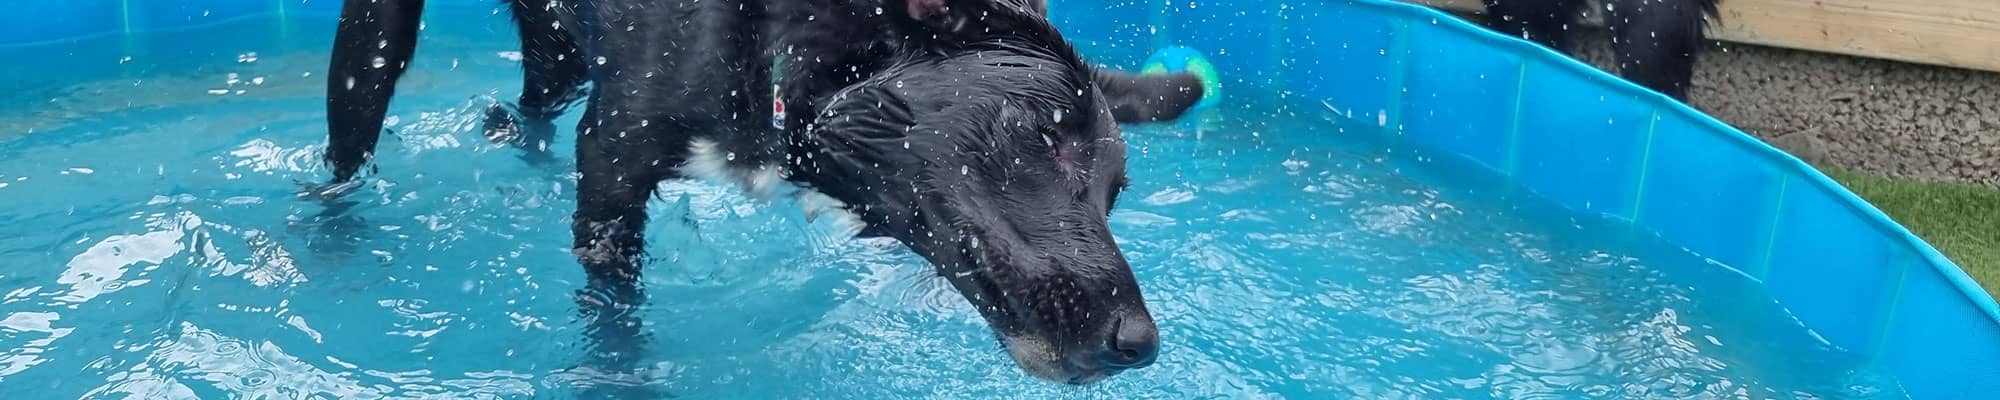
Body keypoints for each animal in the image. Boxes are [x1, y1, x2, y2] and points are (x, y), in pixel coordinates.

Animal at [318, 0, 1192, 384]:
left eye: (1115, 191)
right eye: (1042, 137)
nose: (1139, 345)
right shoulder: (610, 163)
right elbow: (615, 318)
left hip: (557, 48)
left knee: (536, 102)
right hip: (373, 43)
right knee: (345, 151)